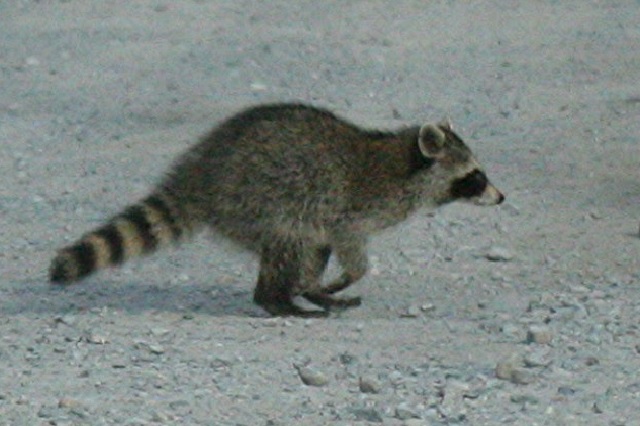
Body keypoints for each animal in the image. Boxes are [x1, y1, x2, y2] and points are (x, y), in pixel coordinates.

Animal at [50, 103, 504, 317]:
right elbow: (352, 251)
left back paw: (301, 293)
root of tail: (201, 175)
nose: (501, 198)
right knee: (291, 243)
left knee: (306, 249)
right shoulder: (352, 209)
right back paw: (278, 300)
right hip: (262, 199)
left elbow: (325, 250)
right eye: (475, 176)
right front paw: (343, 278)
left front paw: (319, 286)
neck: (405, 161)